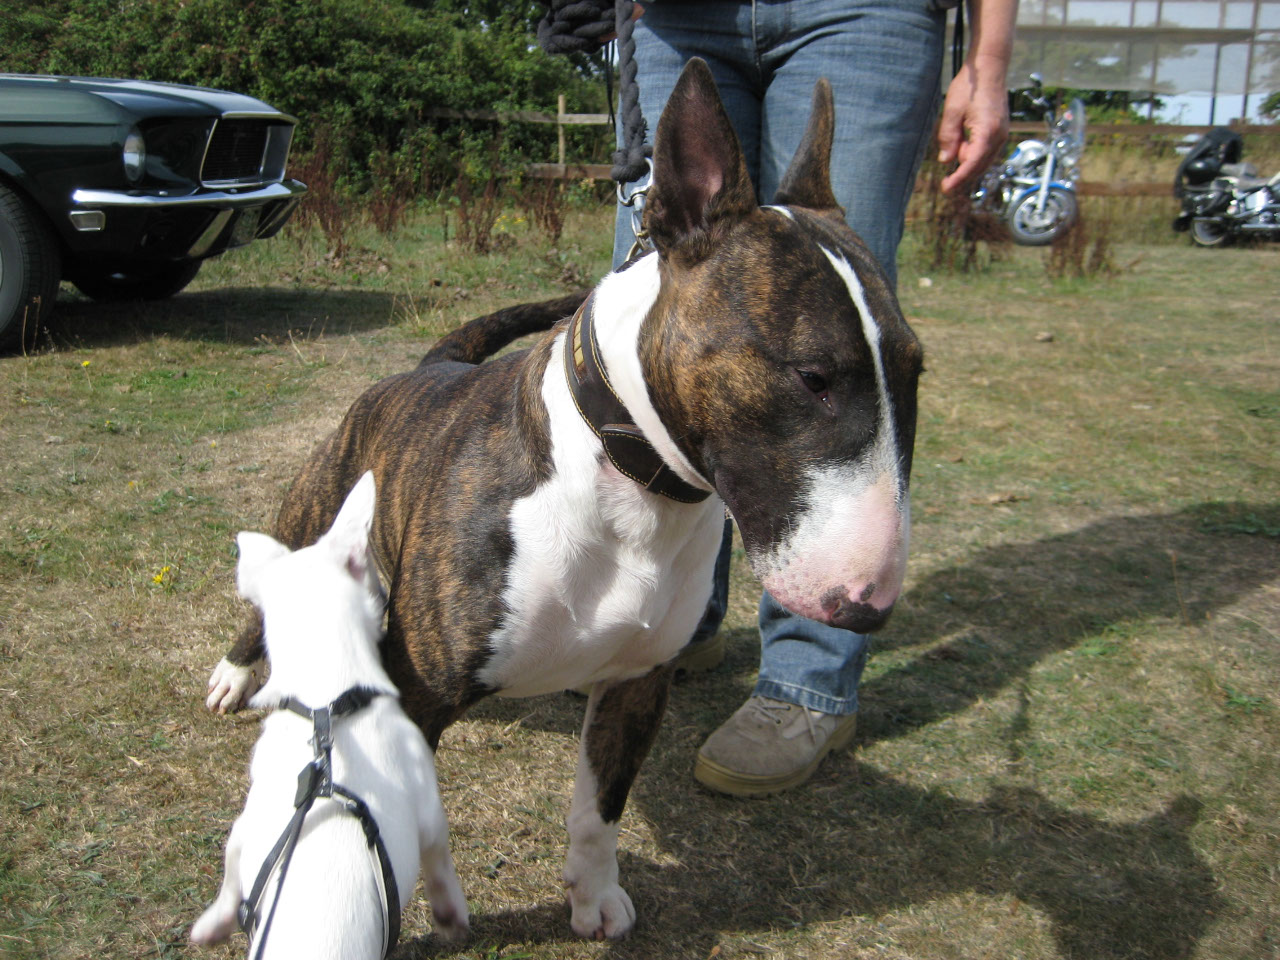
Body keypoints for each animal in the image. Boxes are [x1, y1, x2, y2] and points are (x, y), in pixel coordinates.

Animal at [189, 476, 471, 960]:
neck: (327, 697)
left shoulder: (245, 828)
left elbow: (228, 874)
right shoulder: (428, 802)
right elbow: (440, 860)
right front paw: (452, 914)